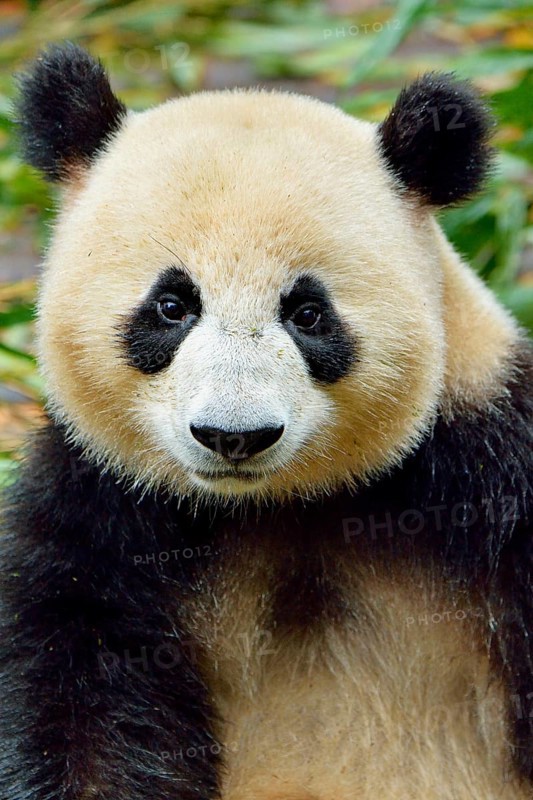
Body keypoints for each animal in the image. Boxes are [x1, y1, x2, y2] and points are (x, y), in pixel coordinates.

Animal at [1, 41, 532, 800]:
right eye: (172, 306)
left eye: (308, 313)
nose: (235, 436)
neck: (280, 505)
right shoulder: (97, 511)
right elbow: (78, 712)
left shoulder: (491, 471)